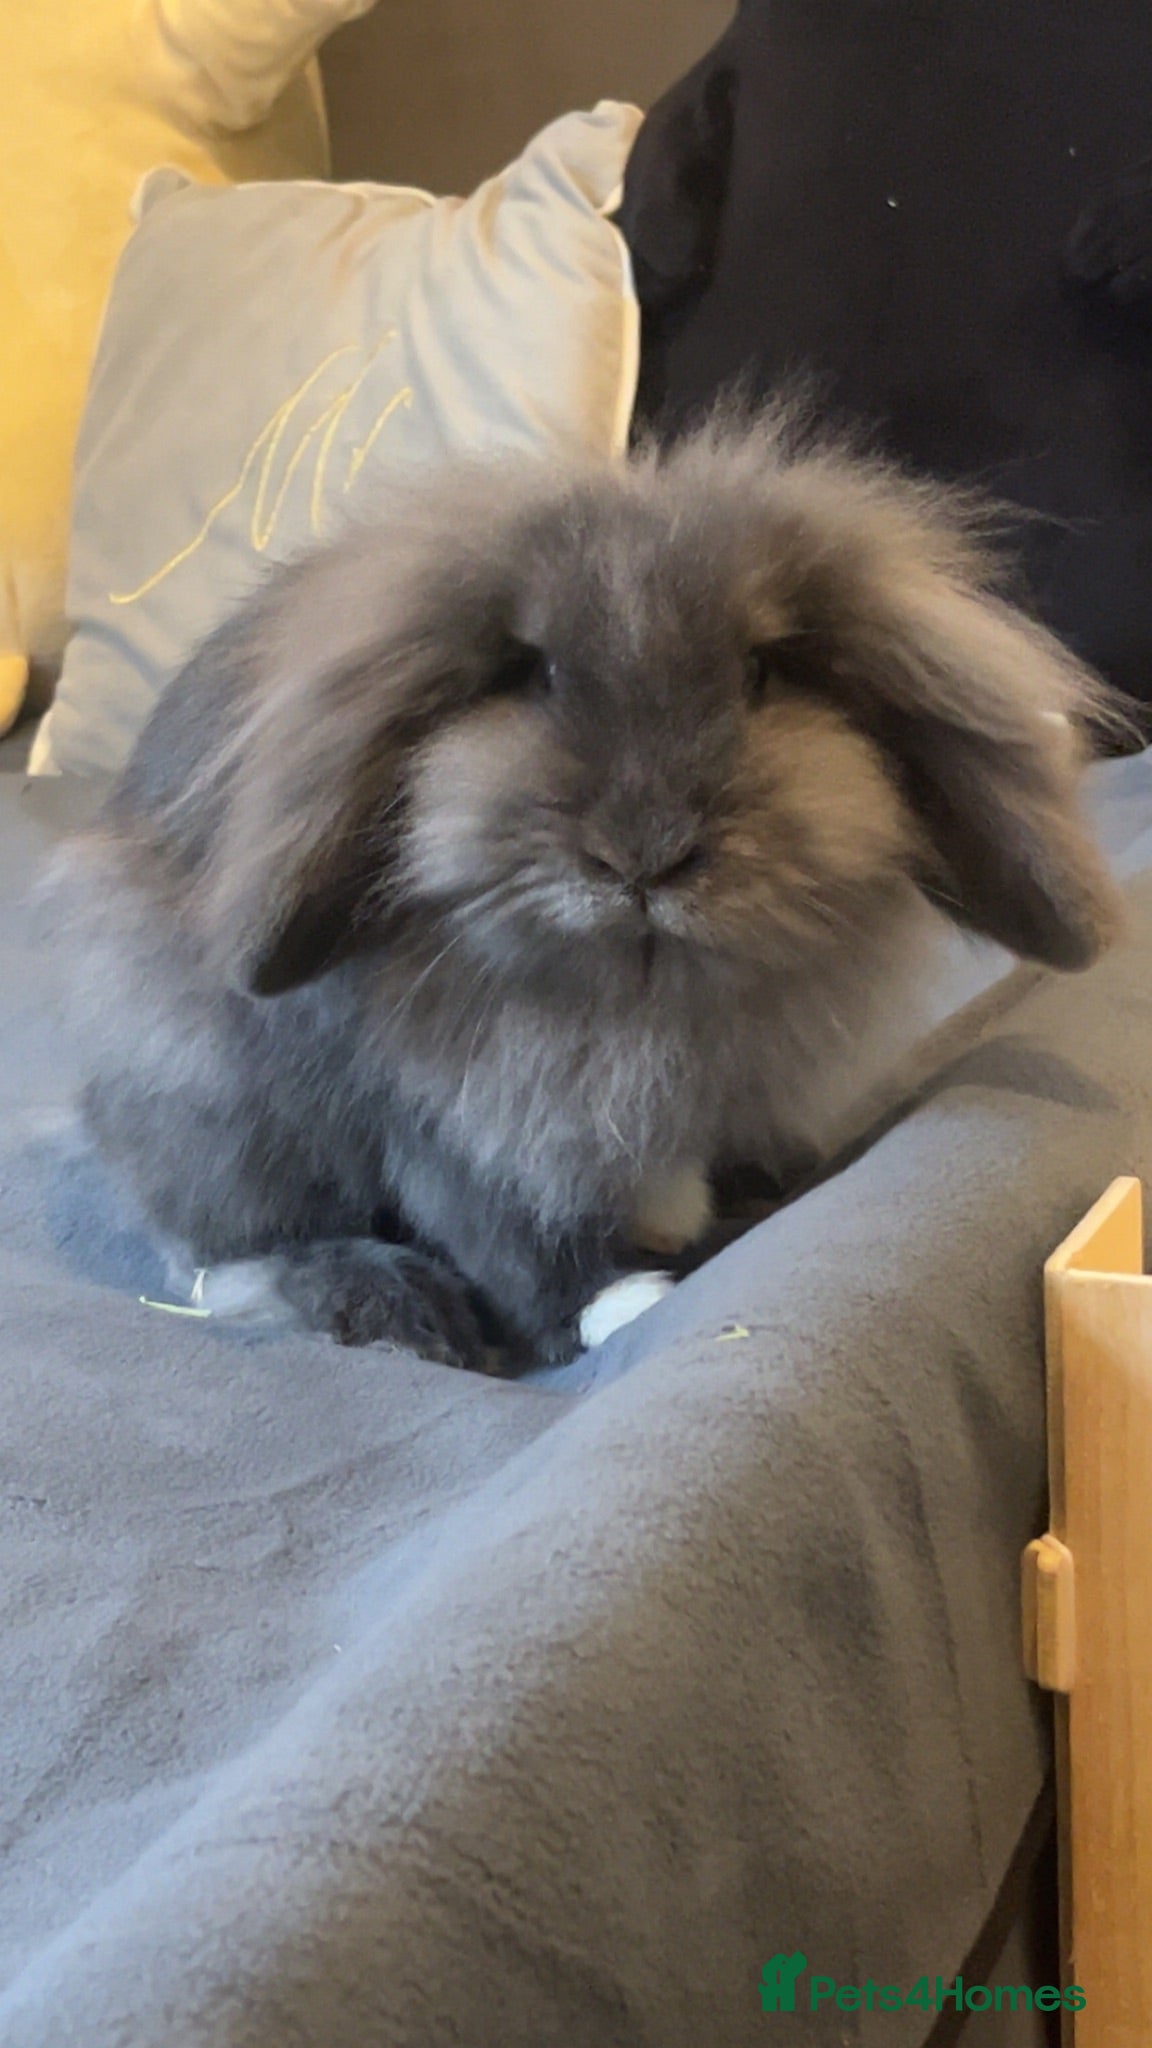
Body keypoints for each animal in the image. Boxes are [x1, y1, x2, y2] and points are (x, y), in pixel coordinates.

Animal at [50, 408, 1123, 1373]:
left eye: (762, 670)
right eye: (531, 673)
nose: (643, 856)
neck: (641, 998)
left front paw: (748, 1201)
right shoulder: (457, 1131)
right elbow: (516, 1244)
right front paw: (621, 1303)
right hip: (216, 1103)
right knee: (234, 1256)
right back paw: (401, 1312)